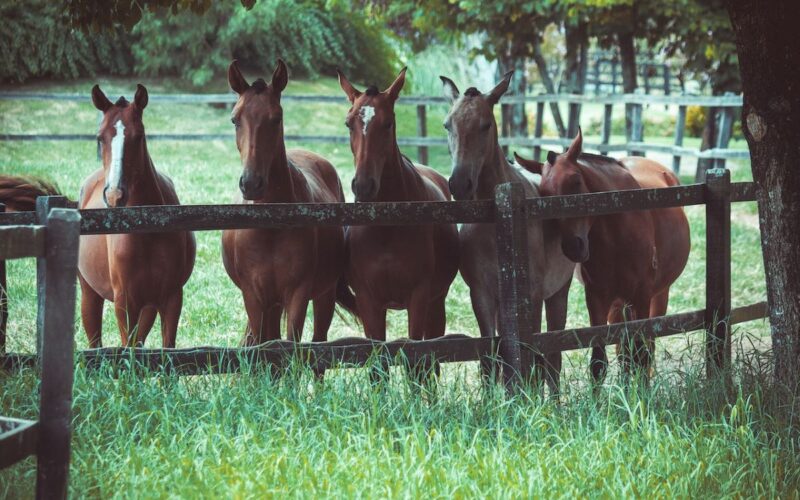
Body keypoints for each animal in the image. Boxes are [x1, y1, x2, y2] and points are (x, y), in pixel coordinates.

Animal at [78, 84, 197, 348]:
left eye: (139, 136)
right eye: (100, 137)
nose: (114, 195)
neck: (148, 227)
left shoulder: (171, 298)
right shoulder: (125, 302)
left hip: (148, 306)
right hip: (90, 294)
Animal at [222, 59, 346, 344]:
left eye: (276, 118)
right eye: (235, 119)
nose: (251, 183)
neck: (271, 226)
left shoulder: (298, 295)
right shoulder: (254, 298)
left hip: (323, 296)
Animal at [336, 68, 460, 344]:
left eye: (388, 123)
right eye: (348, 124)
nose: (363, 186)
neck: (387, 226)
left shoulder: (419, 297)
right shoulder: (369, 302)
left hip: (436, 304)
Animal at [438, 72, 576, 390]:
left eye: (486, 124)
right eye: (447, 124)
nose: (459, 184)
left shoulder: (532, 296)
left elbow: (533, 358)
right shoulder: (482, 294)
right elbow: (490, 358)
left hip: (558, 292)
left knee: (553, 358)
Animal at [516, 131, 692, 380]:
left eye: (576, 181)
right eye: (544, 194)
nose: (573, 247)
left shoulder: (641, 297)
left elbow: (641, 355)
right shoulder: (598, 299)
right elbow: (599, 362)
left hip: (657, 296)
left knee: (646, 348)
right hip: (619, 305)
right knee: (624, 352)